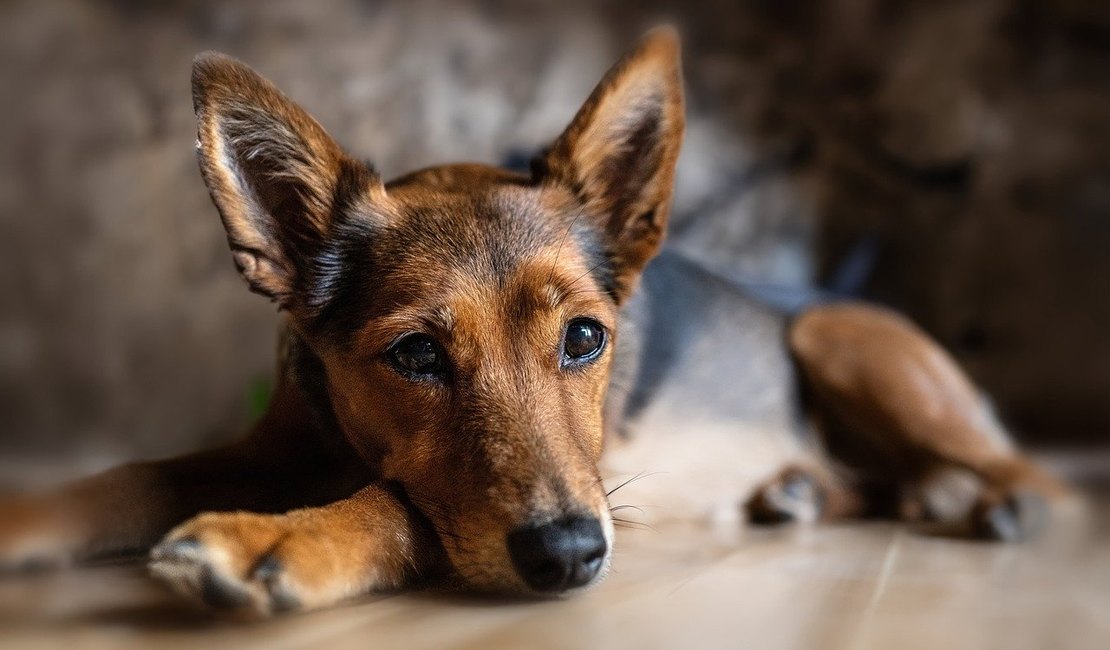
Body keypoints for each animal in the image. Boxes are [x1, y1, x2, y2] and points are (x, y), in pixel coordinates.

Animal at [0, 29, 1065, 612]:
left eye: (585, 339)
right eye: (415, 354)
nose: (571, 558)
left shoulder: (583, 493)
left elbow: (397, 502)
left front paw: (288, 541)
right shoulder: (268, 447)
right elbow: (134, 474)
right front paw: (29, 517)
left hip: (837, 338)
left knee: (1024, 470)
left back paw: (1005, 505)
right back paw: (809, 493)